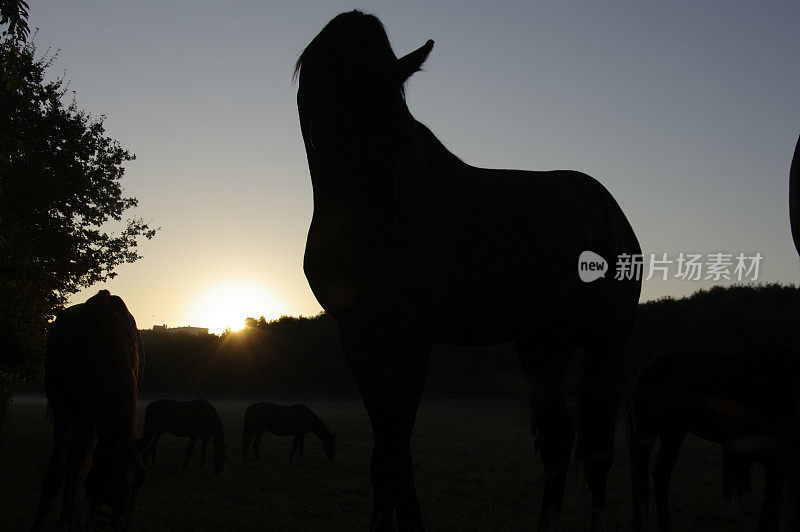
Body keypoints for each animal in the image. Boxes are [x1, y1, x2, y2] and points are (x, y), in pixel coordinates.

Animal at [31, 290, 147, 532]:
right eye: (112, 481)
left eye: (141, 481)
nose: (121, 523)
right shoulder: (65, 411)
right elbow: (55, 473)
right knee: (73, 463)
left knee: (78, 461)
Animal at [296, 10, 640, 528]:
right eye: (325, 123)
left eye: (404, 140)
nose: (383, 244)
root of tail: (610, 210)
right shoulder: (359, 337)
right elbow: (388, 454)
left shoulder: (410, 338)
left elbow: (393, 453)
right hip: (544, 342)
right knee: (558, 439)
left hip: (604, 338)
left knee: (598, 447)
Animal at [632, 342, 800, 528]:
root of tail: (644, 368)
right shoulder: (776, 458)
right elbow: (772, 502)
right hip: (648, 432)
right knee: (642, 475)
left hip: (673, 432)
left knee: (660, 472)